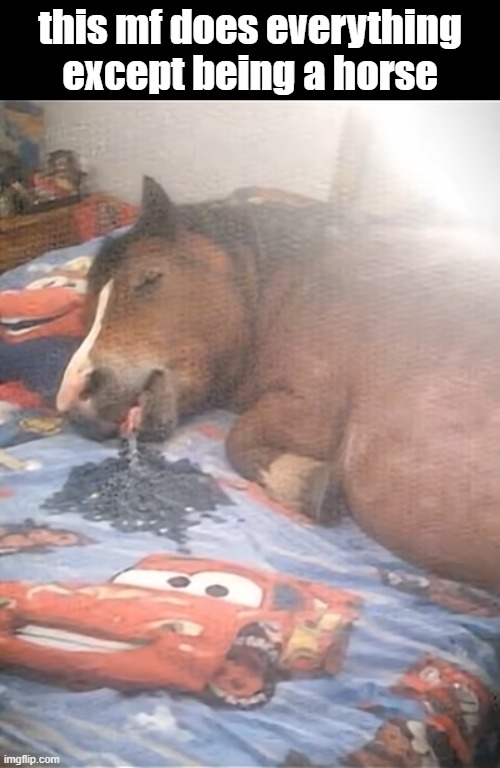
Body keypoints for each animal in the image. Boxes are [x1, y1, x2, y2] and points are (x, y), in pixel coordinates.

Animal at [56, 176, 500, 592]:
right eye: (88, 313)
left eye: (150, 278)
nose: (73, 400)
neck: (300, 286)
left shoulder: (316, 411)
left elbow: (238, 438)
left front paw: (302, 483)